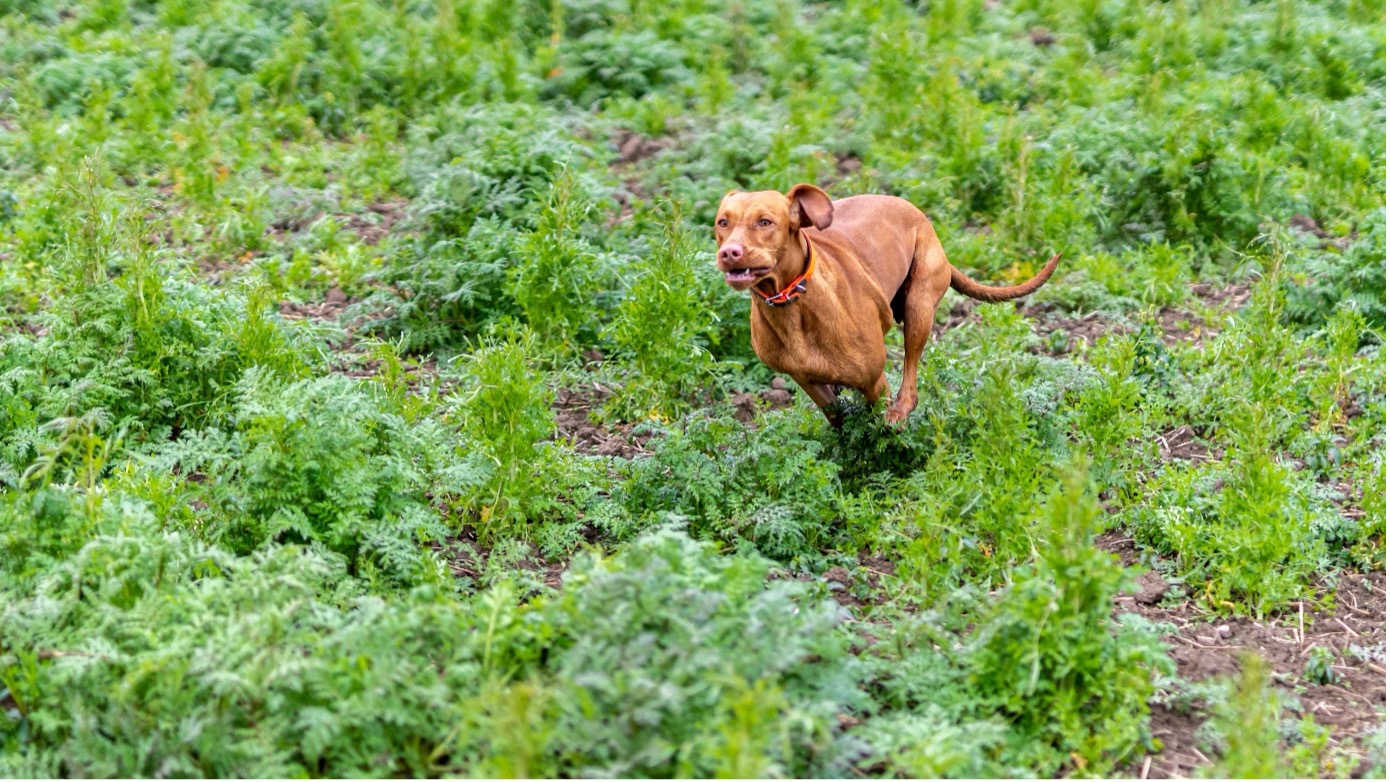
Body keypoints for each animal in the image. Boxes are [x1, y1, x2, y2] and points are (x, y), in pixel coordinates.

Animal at [722, 183, 1056, 425]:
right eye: (722, 222)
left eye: (765, 222)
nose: (729, 252)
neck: (791, 304)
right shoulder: (806, 381)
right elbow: (838, 419)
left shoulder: (873, 380)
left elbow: (877, 429)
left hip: (919, 306)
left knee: (910, 379)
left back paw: (901, 410)